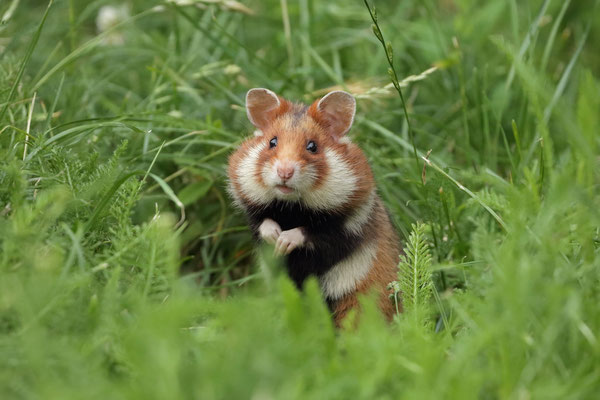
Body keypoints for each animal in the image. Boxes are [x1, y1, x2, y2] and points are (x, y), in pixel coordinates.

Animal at [227, 88, 400, 324]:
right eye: (272, 142)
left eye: (312, 146)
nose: (284, 172)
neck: (291, 208)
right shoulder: (254, 215)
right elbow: (264, 224)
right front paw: (275, 239)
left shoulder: (347, 226)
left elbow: (312, 233)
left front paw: (284, 241)